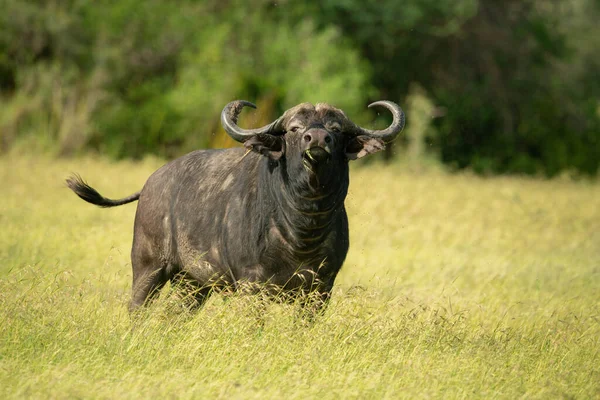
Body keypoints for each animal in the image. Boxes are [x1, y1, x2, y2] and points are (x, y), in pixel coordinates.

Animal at [65, 100, 406, 312]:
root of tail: (151, 183)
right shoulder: (252, 287)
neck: (302, 226)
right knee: (136, 308)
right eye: (294, 128)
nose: (317, 139)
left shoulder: (321, 290)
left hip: (192, 285)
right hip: (148, 267)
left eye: (335, 128)